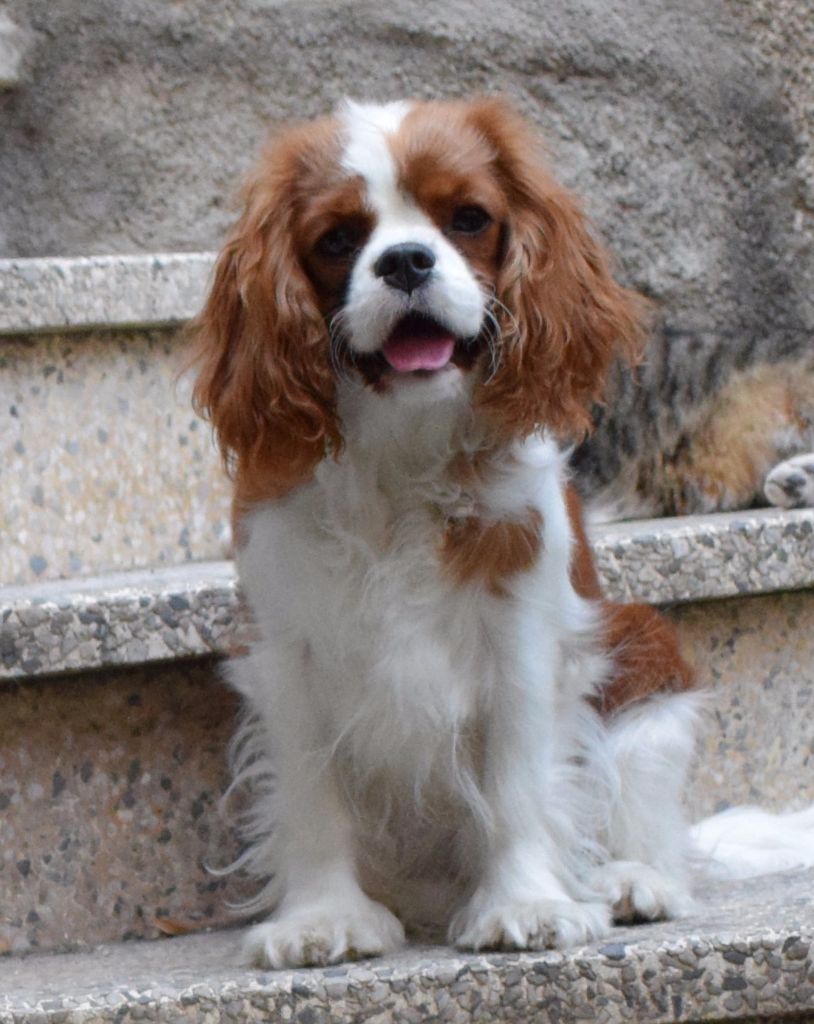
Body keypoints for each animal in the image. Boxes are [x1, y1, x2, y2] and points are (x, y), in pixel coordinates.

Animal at [191, 97, 808, 969]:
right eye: (338, 238)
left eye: (469, 218)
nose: (406, 261)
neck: (403, 451)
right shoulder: (287, 650)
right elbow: (312, 792)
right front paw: (323, 919)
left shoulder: (522, 638)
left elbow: (517, 779)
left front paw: (528, 905)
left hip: (647, 664)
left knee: (648, 827)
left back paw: (627, 881)